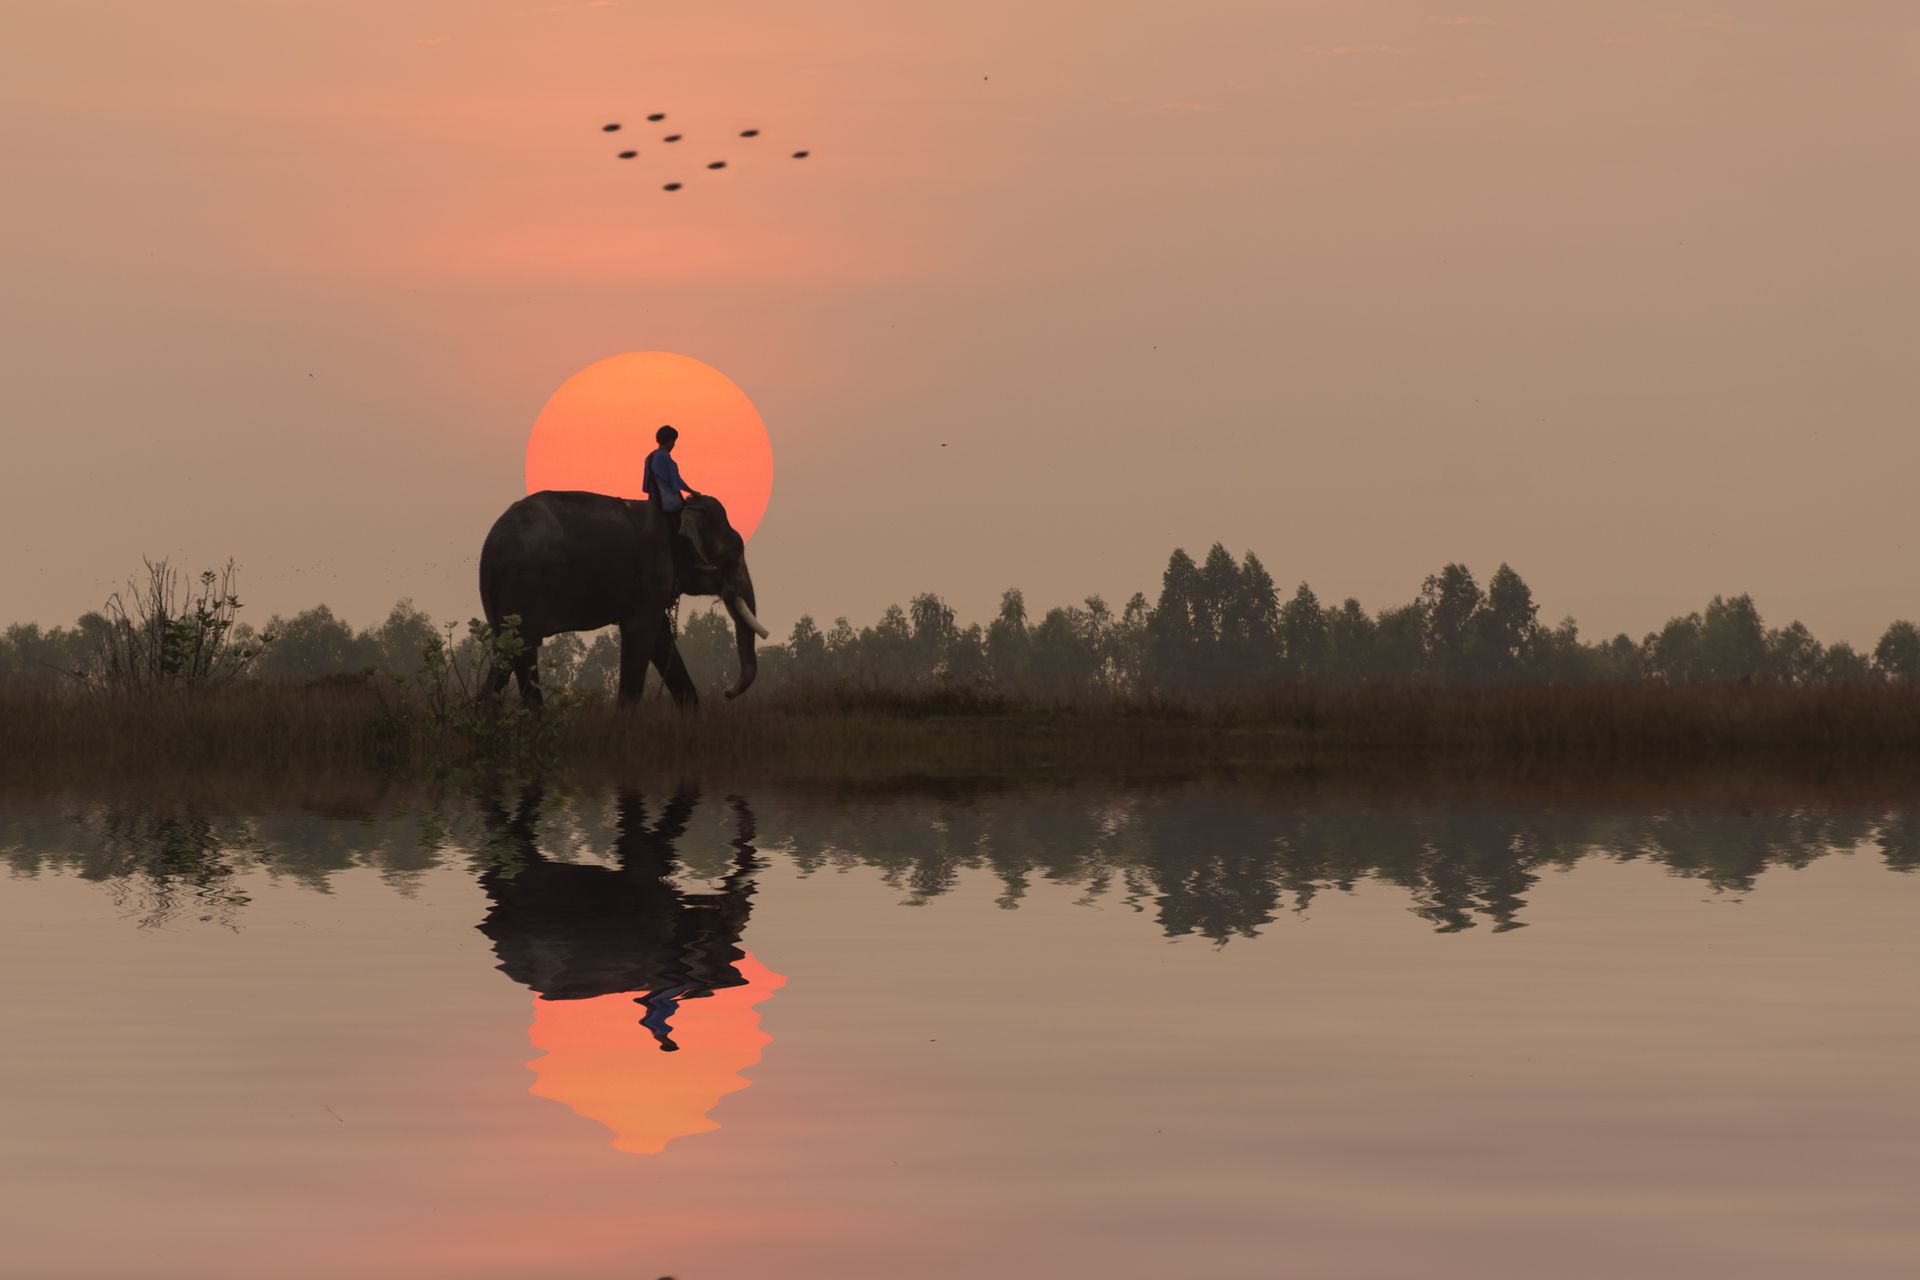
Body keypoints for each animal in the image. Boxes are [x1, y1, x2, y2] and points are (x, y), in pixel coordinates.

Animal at [478, 490, 768, 708]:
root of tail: (493, 545)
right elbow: (641, 633)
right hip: (526, 585)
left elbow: (661, 639)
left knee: (505, 651)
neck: (675, 513)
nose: (727, 692)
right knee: (523, 648)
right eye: (734, 552)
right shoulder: (652, 571)